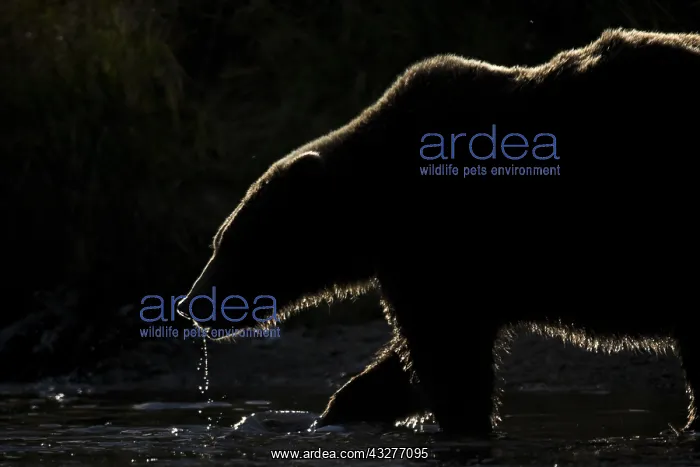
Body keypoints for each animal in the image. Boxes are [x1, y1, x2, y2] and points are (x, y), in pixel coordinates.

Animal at [177, 27, 700, 436]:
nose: (192, 303)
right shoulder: (441, 270)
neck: (375, 206)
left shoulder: (440, 237)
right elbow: (406, 364)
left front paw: (465, 423)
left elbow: (448, 359)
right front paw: (337, 412)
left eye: (231, 242)